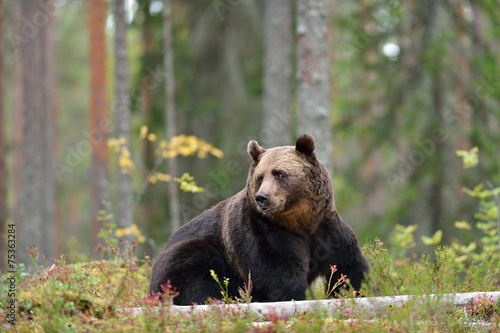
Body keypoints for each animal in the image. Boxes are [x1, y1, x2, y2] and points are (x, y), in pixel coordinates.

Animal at [147, 133, 368, 304]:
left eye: (279, 174)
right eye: (260, 177)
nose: (262, 197)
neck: (299, 222)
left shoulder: (326, 229)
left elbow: (349, 266)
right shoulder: (260, 230)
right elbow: (276, 270)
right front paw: (303, 296)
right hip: (188, 254)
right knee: (195, 268)